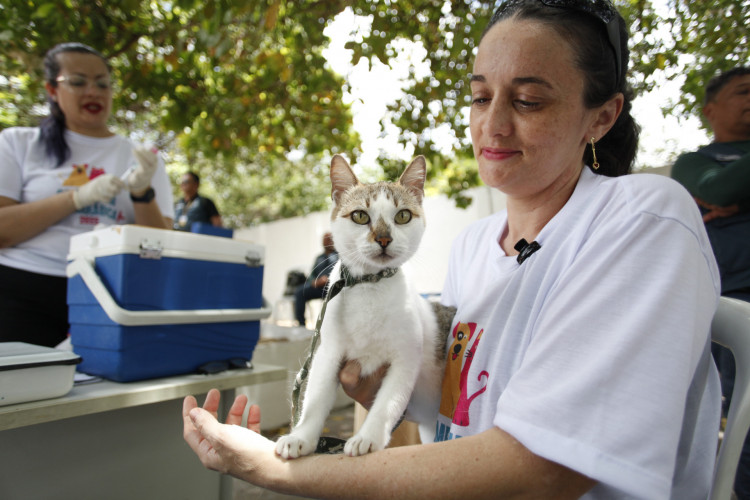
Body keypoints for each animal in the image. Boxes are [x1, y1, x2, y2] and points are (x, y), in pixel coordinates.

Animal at [280, 154, 450, 458]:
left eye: (403, 216)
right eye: (360, 216)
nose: (383, 239)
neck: (371, 285)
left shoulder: (405, 360)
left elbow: (387, 405)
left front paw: (367, 437)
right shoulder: (328, 354)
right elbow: (315, 400)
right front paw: (300, 436)